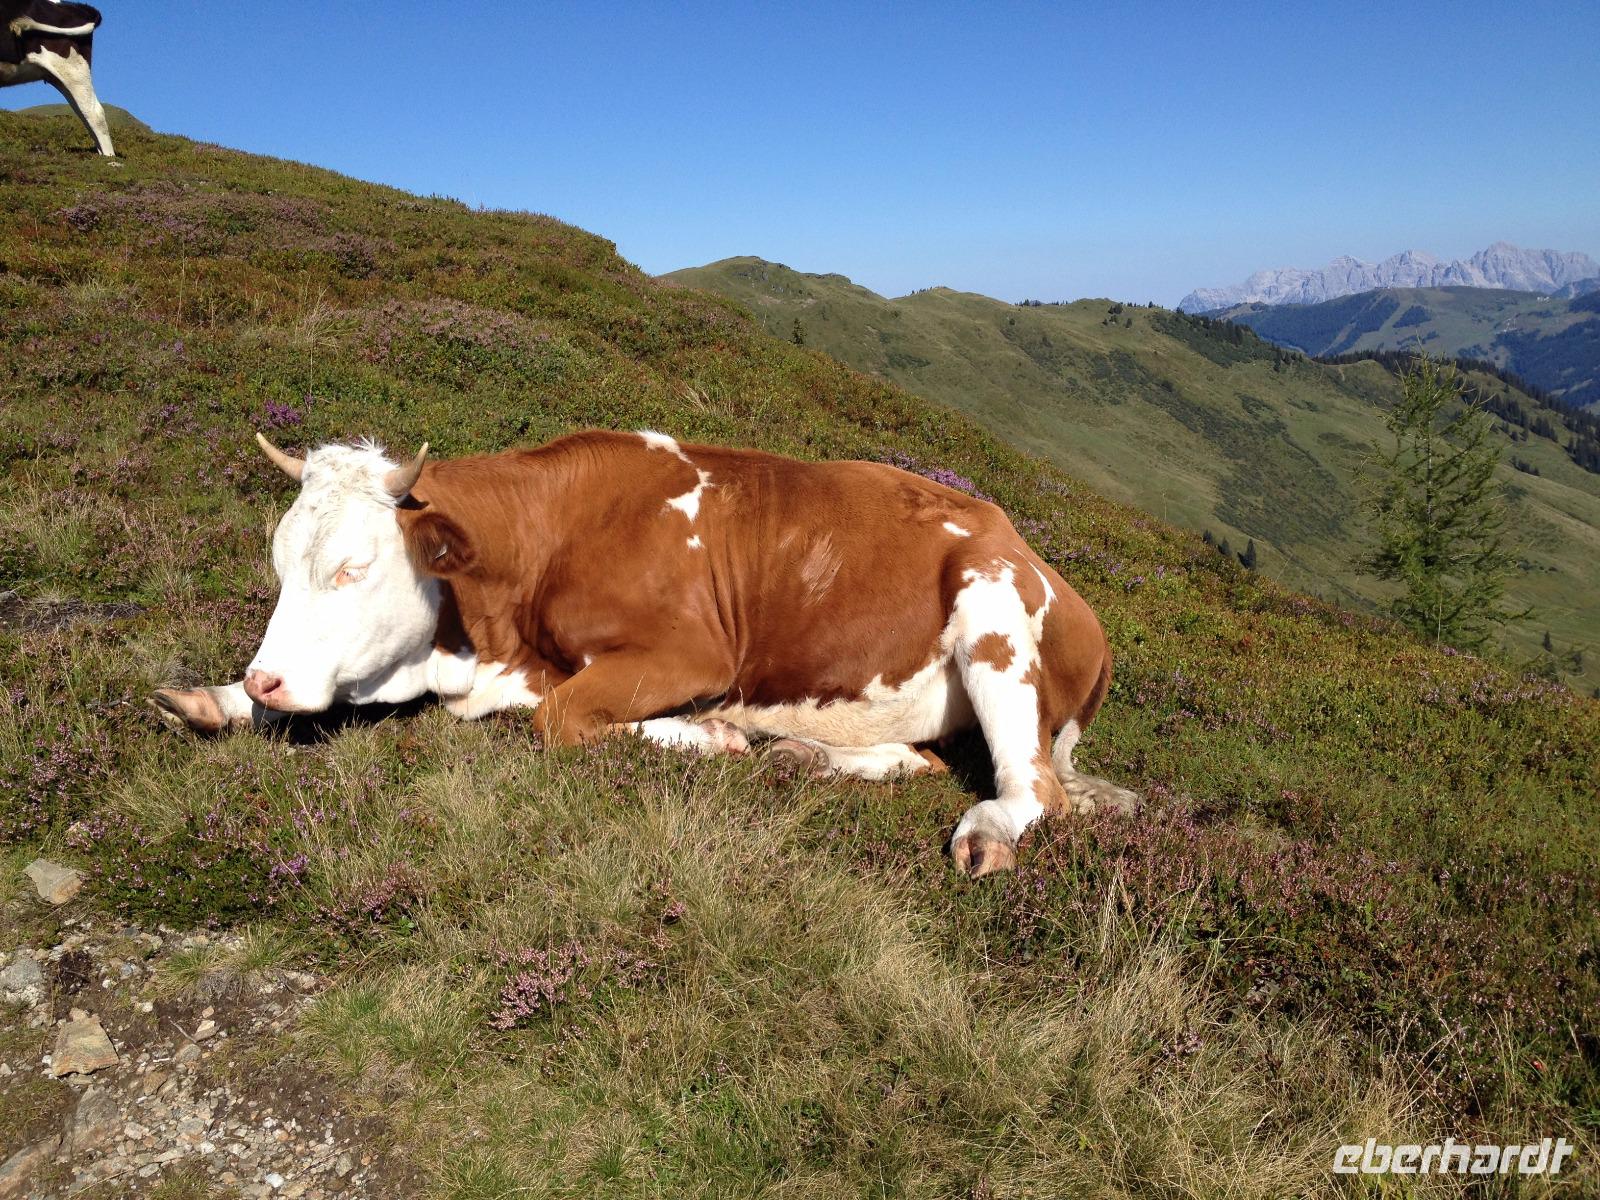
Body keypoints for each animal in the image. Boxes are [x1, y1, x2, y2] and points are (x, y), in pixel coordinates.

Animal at [151, 430, 1139, 876]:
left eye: (354, 567)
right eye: (281, 559)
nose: (267, 673)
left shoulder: (692, 654)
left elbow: (564, 718)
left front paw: (706, 737)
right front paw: (221, 698)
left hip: (992, 614)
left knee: (1031, 788)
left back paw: (982, 832)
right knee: (930, 760)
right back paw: (822, 756)